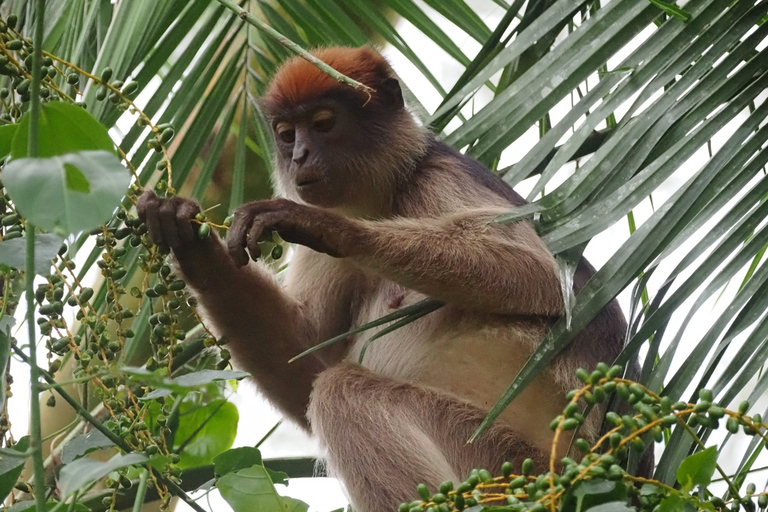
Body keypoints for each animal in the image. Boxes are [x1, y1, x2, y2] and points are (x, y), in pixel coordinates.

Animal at [138, 46, 632, 510]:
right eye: (286, 134)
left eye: (323, 123)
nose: (298, 156)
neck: (389, 197)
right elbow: (306, 353)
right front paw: (185, 237)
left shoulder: (438, 178)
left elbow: (542, 277)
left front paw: (328, 228)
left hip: (508, 465)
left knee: (344, 392)